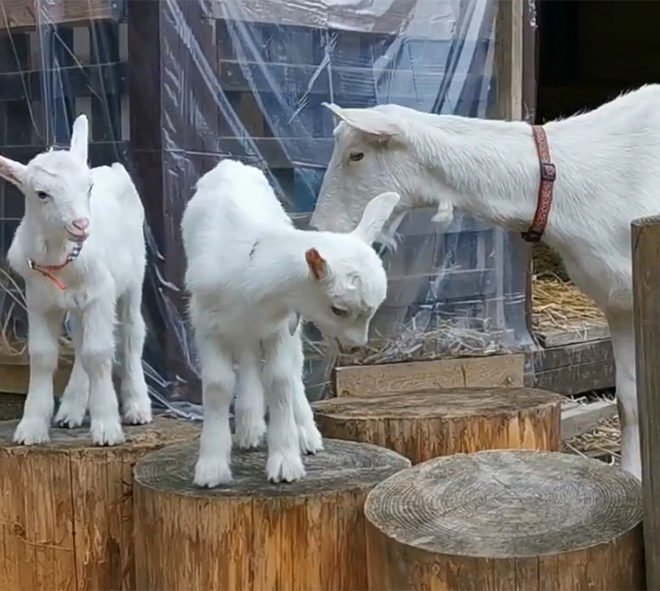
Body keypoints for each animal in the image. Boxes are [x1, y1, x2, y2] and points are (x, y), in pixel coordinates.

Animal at [0, 114, 152, 446]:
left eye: (88, 187)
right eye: (42, 194)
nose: (81, 225)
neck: (61, 260)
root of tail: (113, 168)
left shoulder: (100, 294)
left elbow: (98, 353)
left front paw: (107, 428)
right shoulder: (38, 301)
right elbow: (42, 356)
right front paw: (31, 427)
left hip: (134, 276)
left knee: (132, 332)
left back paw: (137, 406)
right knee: (80, 339)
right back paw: (71, 408)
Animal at [181, 158, 398, 486]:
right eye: (338, 309)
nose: (356, 347)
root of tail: (231, 163)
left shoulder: (280, 325)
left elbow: (280, 380)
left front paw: (285, 462)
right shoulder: (206, 324)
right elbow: (218, 385)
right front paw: (211, 468)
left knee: (291, 371)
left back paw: (305, 434)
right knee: (247, 360)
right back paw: (249, 427)